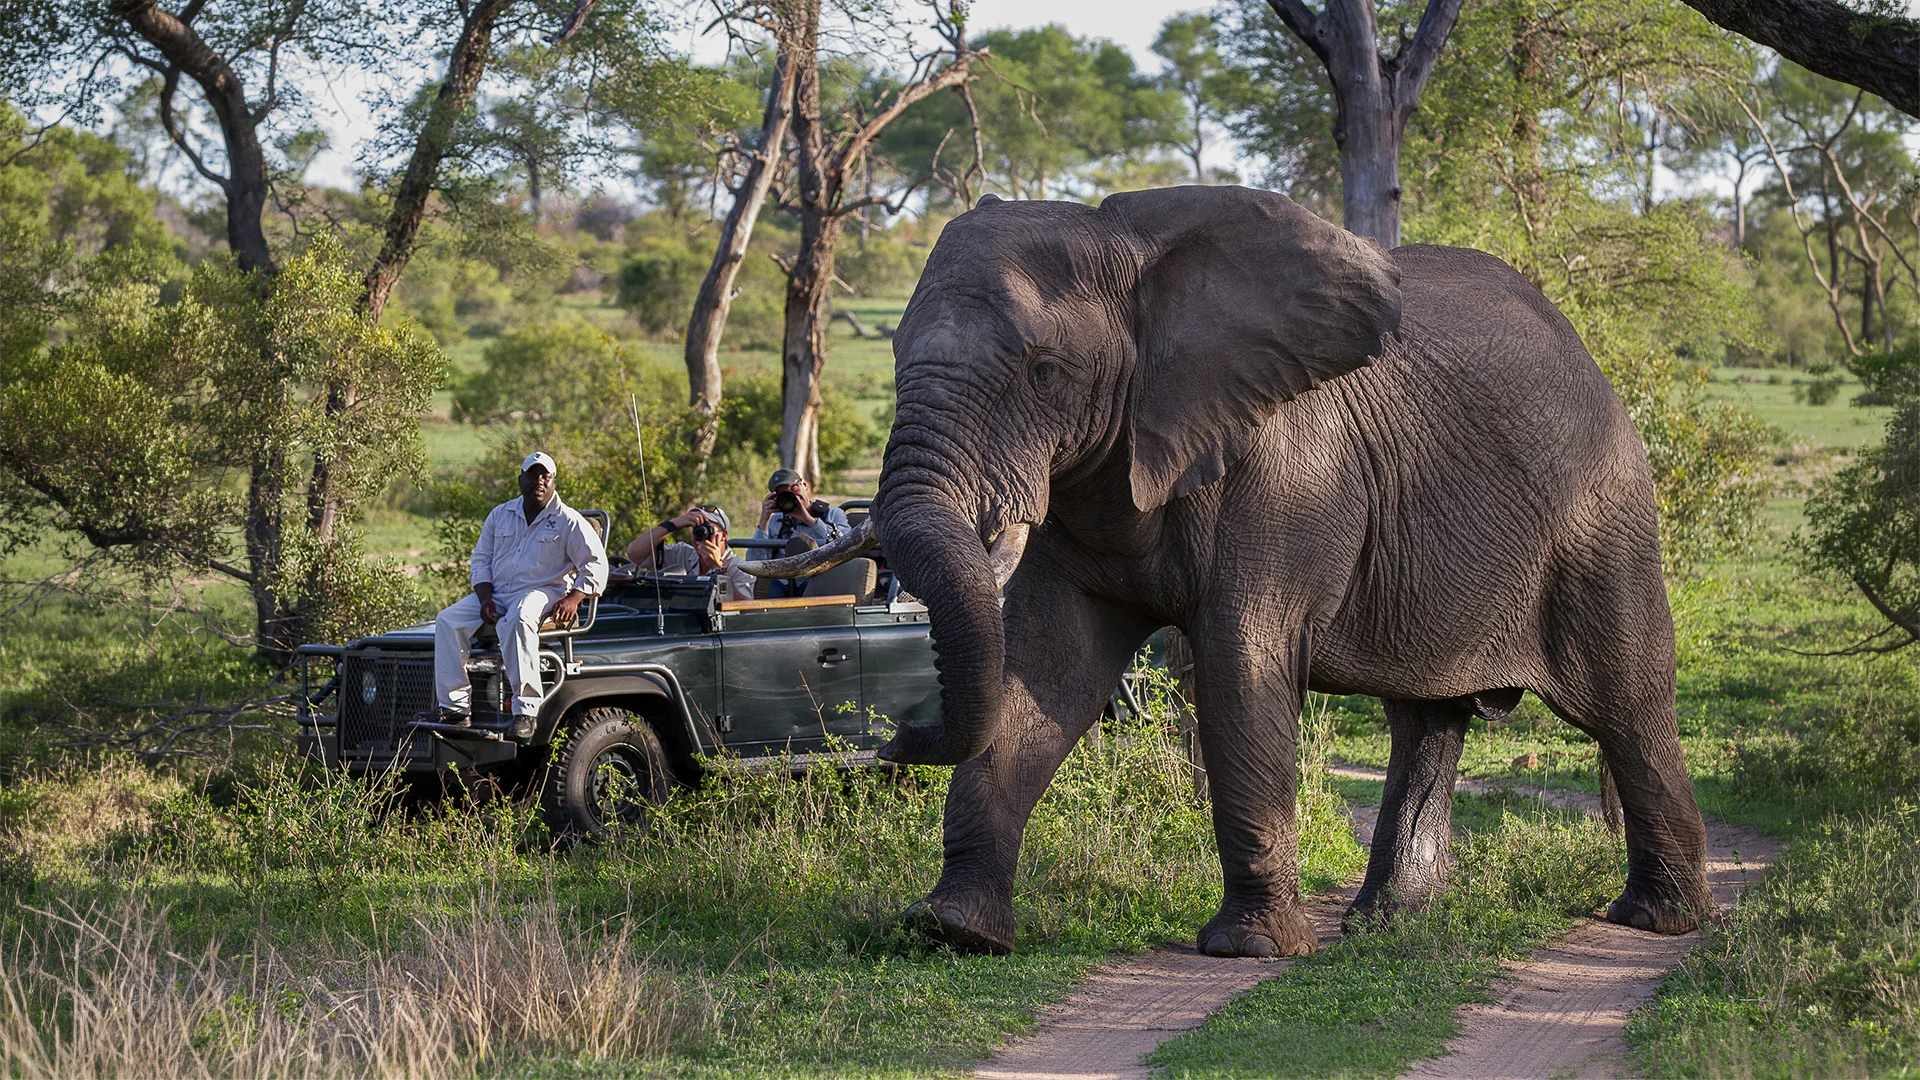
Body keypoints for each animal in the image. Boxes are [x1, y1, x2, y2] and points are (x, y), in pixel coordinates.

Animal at [747, 185, 1711, 958]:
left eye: (1044, 371)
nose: (896, 737)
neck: (1132, 249)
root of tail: (1586, 350)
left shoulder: (1283, 477)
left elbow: (1240, 669)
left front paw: (1248, 951)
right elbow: (1045, 673)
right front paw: (954, 931)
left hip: (1602, 512)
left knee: (1627, 703)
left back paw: (1657, 921)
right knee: (1427, 719)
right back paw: (1384, 926)